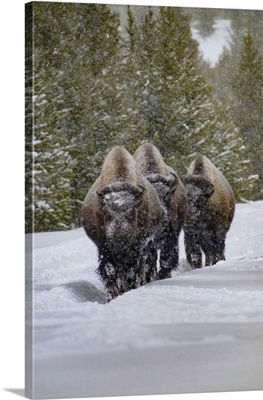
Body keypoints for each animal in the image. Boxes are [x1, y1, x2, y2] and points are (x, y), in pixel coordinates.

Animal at [81, 145, 162, 298]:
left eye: (131, 213)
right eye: (106, 214)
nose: (119, 245)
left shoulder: (136, 246)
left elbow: (131, 271)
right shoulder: (104, 248)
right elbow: (110, 271)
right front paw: (112, 295)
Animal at [134, 143, 188, 278]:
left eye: (168, 195)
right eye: (150, 198)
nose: (162, 215)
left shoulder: (171, 236)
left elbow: (167, 259)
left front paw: (162, 275)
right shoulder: (149, 242)